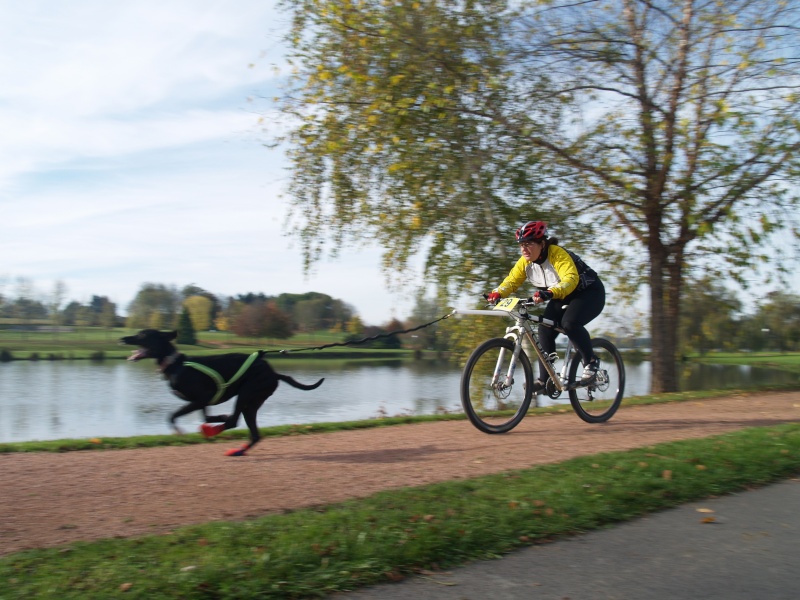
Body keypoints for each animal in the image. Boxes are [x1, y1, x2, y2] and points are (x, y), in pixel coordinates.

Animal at [120, 328, 320, 454]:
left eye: (143, 334)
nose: (122, 339)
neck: (176, 364)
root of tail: (274, 373)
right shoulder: (201, 401)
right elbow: (206, 417)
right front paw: (217, 418)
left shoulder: (202, 398)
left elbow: (172, 416)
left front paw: (180, 431)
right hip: (252, 402)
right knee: (252, 433)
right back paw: (237, 449)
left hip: (246, 393)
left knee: (234, 421)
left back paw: (217, 431)